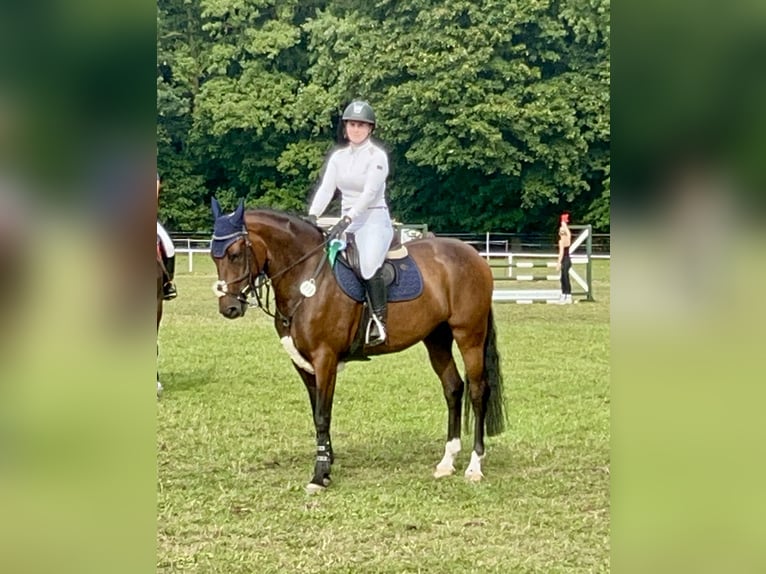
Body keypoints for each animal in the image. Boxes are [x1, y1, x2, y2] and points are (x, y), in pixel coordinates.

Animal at [213, 199, 508, 496]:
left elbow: (322, 414)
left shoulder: (325, 359)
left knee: (477, 391)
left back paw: (474, 466)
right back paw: (447, 462)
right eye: (215, 257)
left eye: (235, 254)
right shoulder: (303, 365)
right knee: (453, 388)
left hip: (469, 335)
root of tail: (473, 254)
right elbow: (317, 414)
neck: (307, 278)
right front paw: (326, 461)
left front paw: (320, 474)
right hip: (437, 339)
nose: (229, 308)